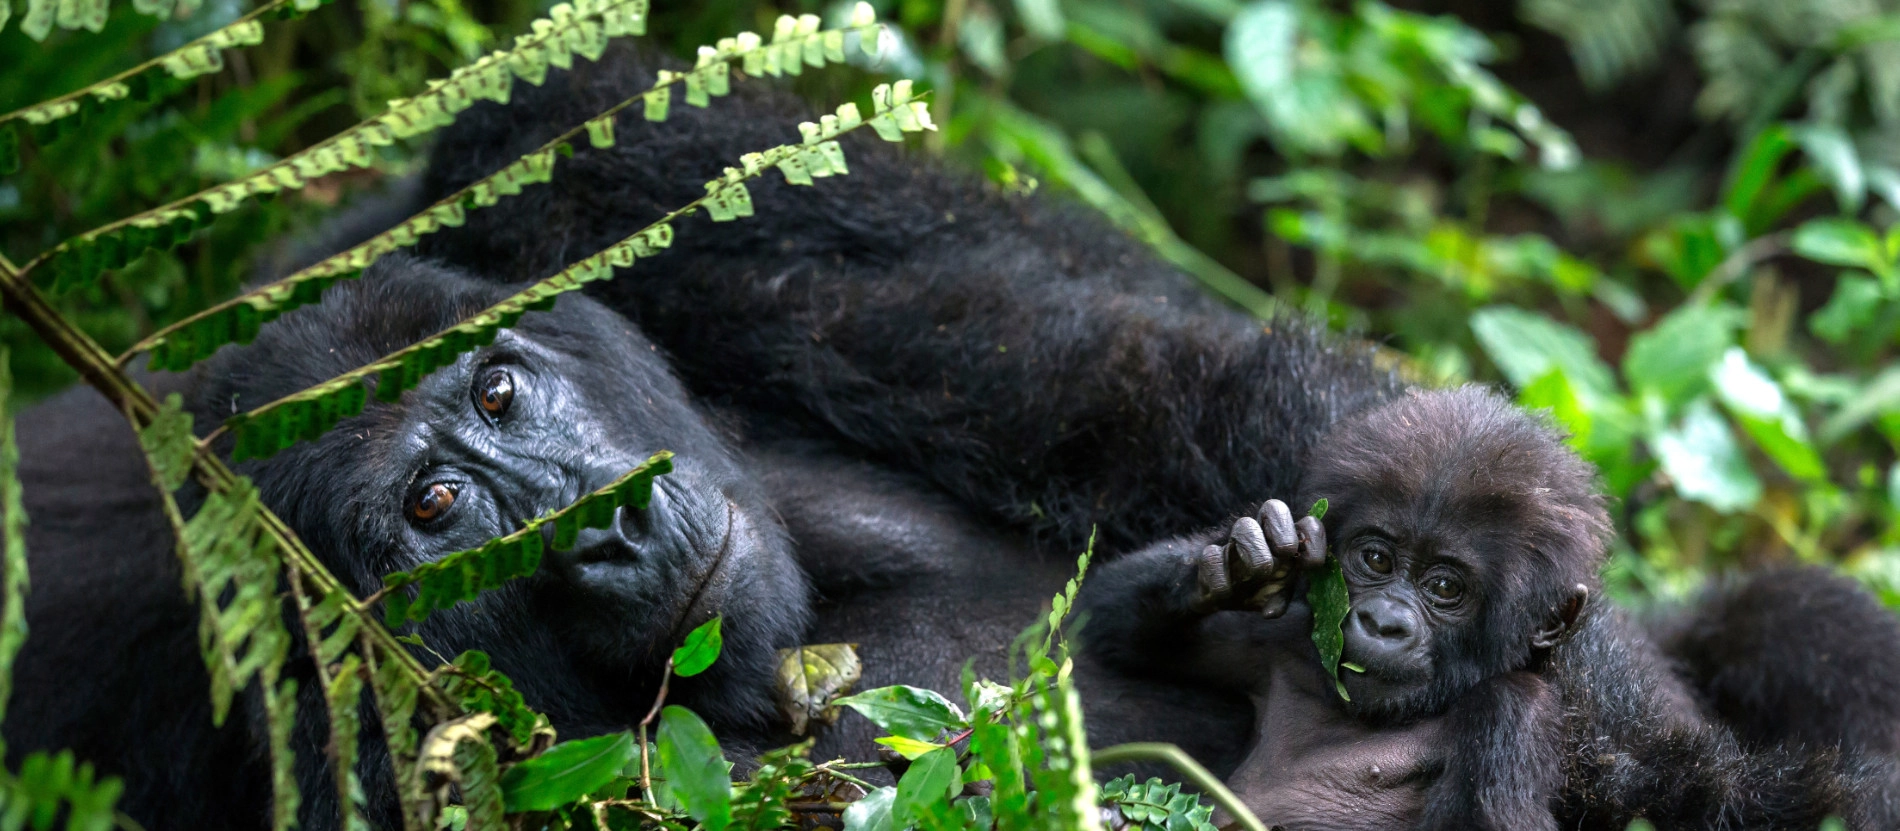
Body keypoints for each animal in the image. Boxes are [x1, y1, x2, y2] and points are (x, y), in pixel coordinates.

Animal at [1094, 387, 1900, 829]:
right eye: (1375, 560)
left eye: (1446, 588)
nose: (1383, 622)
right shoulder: (1289, 642)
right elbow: (1107, 629)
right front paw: (1246, 560)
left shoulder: (1520, 712)